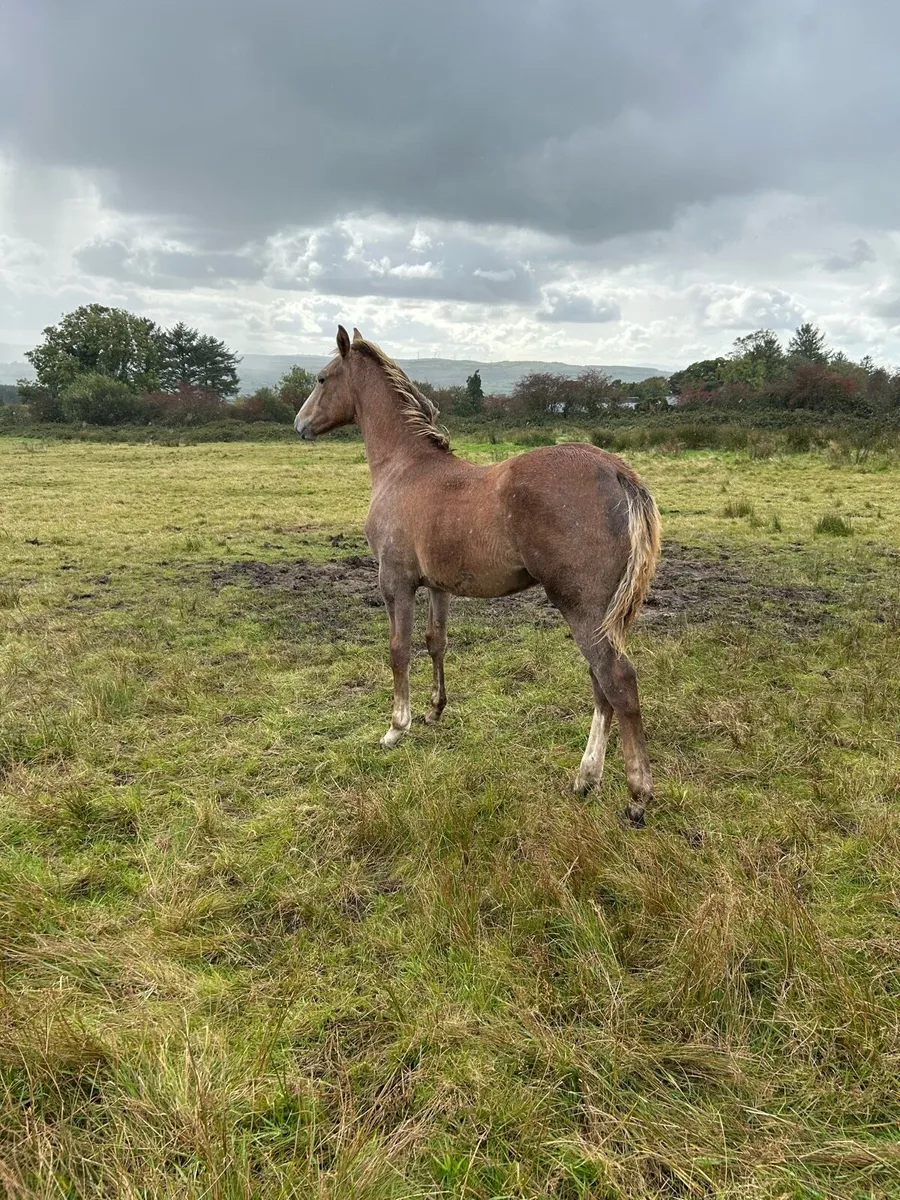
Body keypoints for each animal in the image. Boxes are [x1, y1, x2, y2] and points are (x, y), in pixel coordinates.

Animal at [295, 326, 661, 825]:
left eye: (322, 378)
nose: (299, 424)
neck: (405, 468)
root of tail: (617, 470)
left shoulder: (395, 583)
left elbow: (398, 651)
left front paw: (396, 728)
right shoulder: (438, 587)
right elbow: (436, 642)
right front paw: (434, 712)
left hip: (581, 606)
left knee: (616, 681)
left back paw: (637, 795)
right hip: (604, 615)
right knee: (600, 683)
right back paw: (587, 778)